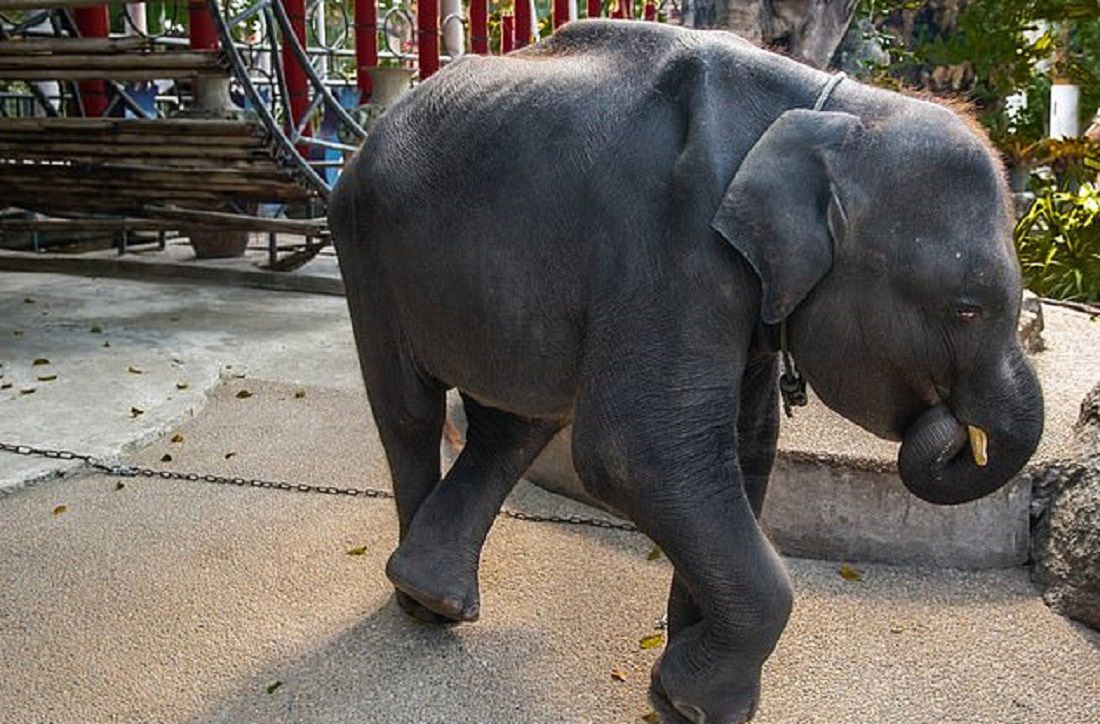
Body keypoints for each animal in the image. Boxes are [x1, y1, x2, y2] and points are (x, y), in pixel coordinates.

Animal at [330, 16, 1042, 721]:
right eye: (968, 309)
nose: (956, 428)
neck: (831, 111)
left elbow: (743, 448)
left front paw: (677, 696)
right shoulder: (671, 242)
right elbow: (640, 452)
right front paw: (699, 704)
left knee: (513, 427)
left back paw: (435, 593)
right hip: (364, 245)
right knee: (410, 414)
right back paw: (419, 607)